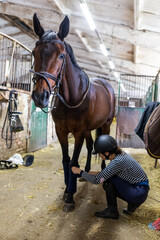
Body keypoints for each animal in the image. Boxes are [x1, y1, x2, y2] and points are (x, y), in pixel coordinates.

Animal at [30, 13, 115, 212]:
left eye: (61, 55)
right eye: (34, 53)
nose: (40, 96)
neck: (70, 99)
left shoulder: (77, 132)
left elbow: (74, 161)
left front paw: (70, 196)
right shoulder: (62, 131)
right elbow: (66, 161)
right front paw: (68, 191)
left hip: (105, 124)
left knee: (103, 146)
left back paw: (102, 171)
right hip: (88, 130)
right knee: (91, 146)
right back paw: (85, 173)